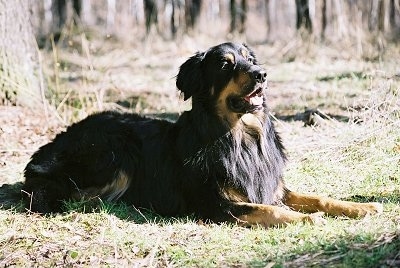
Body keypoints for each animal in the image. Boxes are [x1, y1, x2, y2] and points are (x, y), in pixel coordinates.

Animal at [21, 42, 382, 226]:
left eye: (251, 59)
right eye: (225, 65)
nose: (261, 73)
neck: (241, 137)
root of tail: (45, 149)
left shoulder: (272, 186)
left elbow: (318, 197)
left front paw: (362, 207)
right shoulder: (214, 204)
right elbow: (267, 209)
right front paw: (309, 218)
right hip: (114, 150)